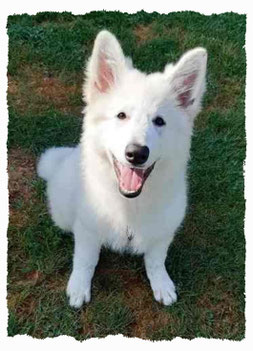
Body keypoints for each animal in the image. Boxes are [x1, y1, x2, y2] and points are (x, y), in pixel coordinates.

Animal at [37, 31, 208, 310]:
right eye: (121, 115)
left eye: (159, 121)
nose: (137, 154)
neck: (130, 205)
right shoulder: (87, 229)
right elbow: (85, 260)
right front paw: (79, 287)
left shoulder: (163, 230)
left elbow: (156, 260)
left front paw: (161, 284)